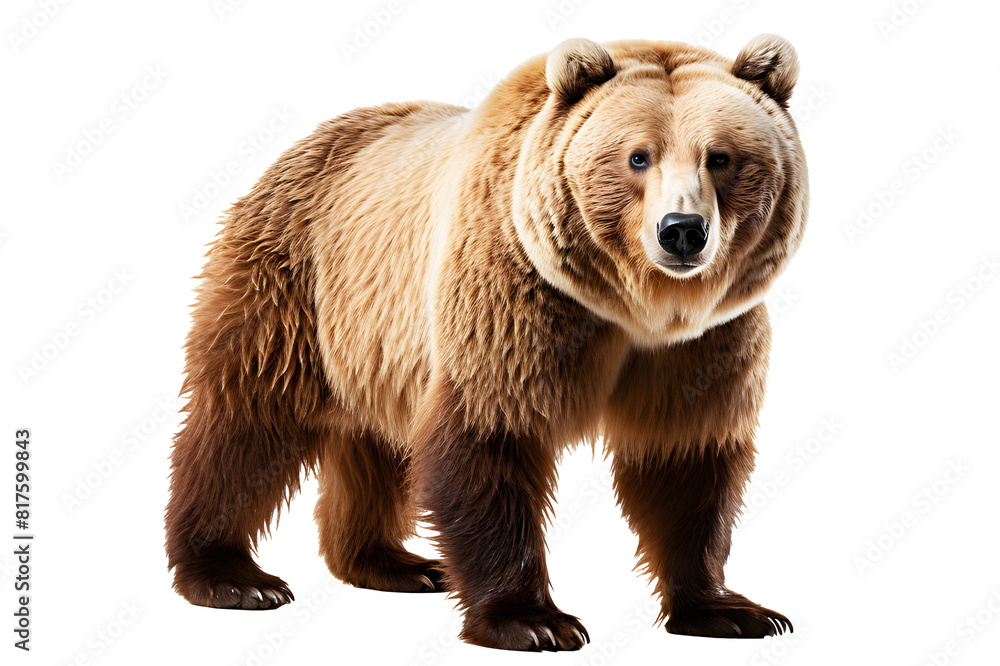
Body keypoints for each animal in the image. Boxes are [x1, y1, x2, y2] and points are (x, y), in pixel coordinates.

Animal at [165, 34, 808, 652]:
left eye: (721, 157)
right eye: (637, 156)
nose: (681, 231)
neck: (632, 308)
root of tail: (305, 143)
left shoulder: (703, 342)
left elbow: (687, 455)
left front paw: (729, 610)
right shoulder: (512, 295)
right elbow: (490, 436)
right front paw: (534, 621)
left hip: (377, 344)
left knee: (376, 444)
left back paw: (394, 563)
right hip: (296, 283)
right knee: (247, 418)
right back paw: (231, 575)